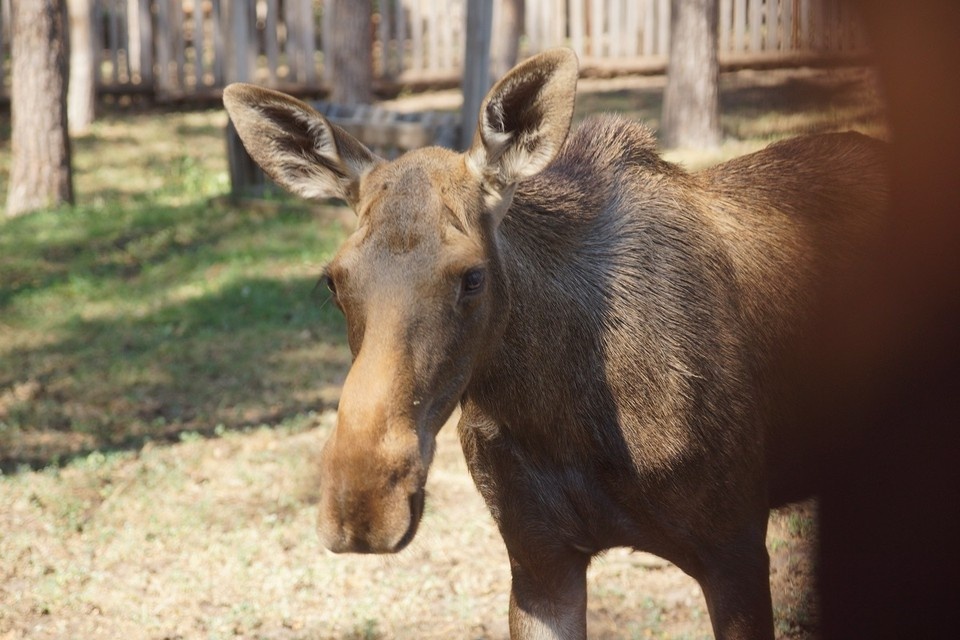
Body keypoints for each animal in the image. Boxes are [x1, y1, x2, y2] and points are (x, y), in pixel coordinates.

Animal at [223, 48, 888, 639]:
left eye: (472, 276)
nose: (362, 503)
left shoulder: (736, 547)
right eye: (333, 280)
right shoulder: (539, 561)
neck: (563, 416)